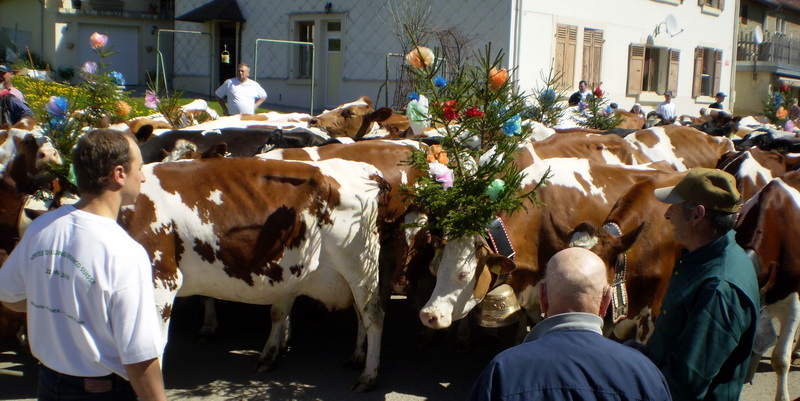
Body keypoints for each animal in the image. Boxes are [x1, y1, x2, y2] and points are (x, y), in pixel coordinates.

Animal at [119, 157, 390, 390]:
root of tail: (365, 169)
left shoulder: (161, 280)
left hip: (359, 263)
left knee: (373, 315)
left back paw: (368, 376)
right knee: (359, 312)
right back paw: (354, 358)